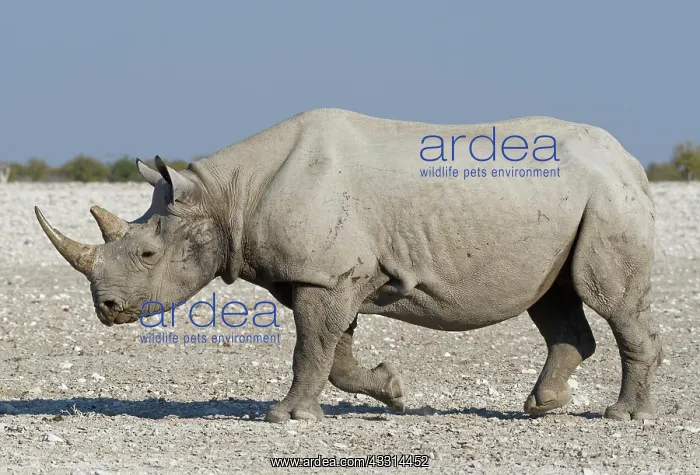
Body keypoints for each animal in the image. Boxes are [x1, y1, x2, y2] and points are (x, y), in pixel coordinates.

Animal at [35, 108, 661, 423]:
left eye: (146, 255)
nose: (106, 309)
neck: (224, 195)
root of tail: (628, 158)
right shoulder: (330, 273)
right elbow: (334, 351)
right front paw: (393, 390)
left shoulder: (325, 273)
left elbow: (311, 346)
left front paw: (286, 418)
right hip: (574, 203)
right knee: (554, 298)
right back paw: (541, 408)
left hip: (607, 196)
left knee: (607, 298)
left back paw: (621, 417)